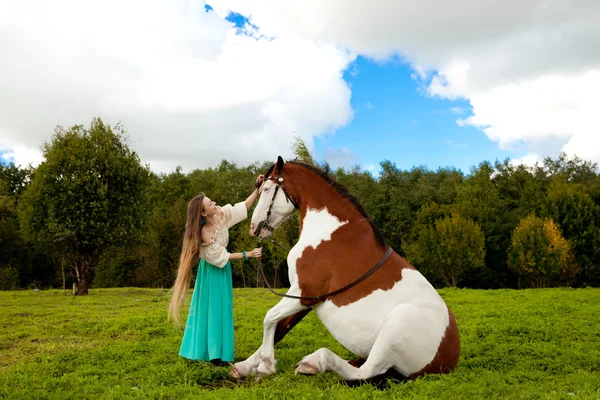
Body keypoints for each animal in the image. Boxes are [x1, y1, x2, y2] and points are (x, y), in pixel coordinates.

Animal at [230, 156, 460, 382]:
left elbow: (269, 318)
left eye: (267, 189)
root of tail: (449, 358)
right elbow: (280, 327)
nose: (254, 228)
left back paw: (314, 362)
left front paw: (265, 366)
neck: (328, 231)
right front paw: (244, 367)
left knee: (366, 371)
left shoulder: (305, 293)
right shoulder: (303, 298)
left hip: (396, 326)